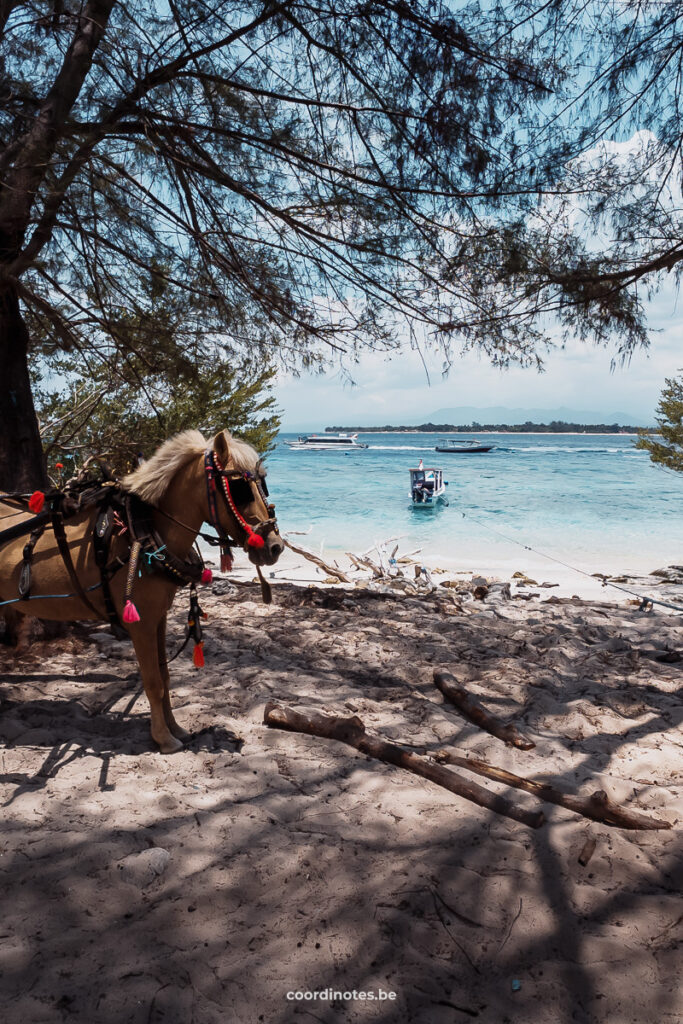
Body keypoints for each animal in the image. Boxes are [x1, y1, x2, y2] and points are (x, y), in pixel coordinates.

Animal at [0, 425, 282, 753]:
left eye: (263, 485)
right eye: (238, 487)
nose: (275, 547)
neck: (143, 529)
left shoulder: (158, 618)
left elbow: (166, 676)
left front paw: (175, 727)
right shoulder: (141, 623)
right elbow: (153, 681)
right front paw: (163, 738)